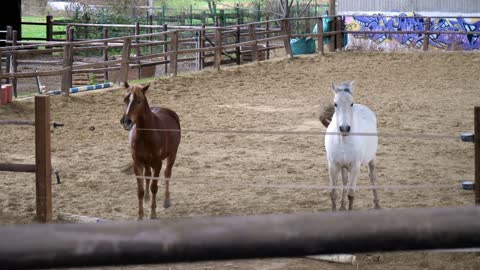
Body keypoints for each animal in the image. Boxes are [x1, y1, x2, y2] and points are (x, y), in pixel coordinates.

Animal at [119, 82, 181, 219]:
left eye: (139, 101)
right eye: (125, 99)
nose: (126, 121)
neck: (146, 135)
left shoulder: (157, 164)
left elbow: (154, 187)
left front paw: (153, 213)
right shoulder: (137, 163)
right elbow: (140, 190)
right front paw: (140, 216)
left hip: (172, 154)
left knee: (167, 174)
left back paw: (166, 201)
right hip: (147, 163)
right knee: (147, 175)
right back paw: (147, 197)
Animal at [324, 80, 380, 211]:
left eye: (351, 103)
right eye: (335, 104)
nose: (344, 128)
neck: (344, 142)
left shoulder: (355, 167)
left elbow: (351, 195)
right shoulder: (333, 166)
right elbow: (333, 193)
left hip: (372, 158)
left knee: (372, 177)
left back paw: (377, 204)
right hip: (343, 166)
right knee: (344, 181)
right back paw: (342, 206)